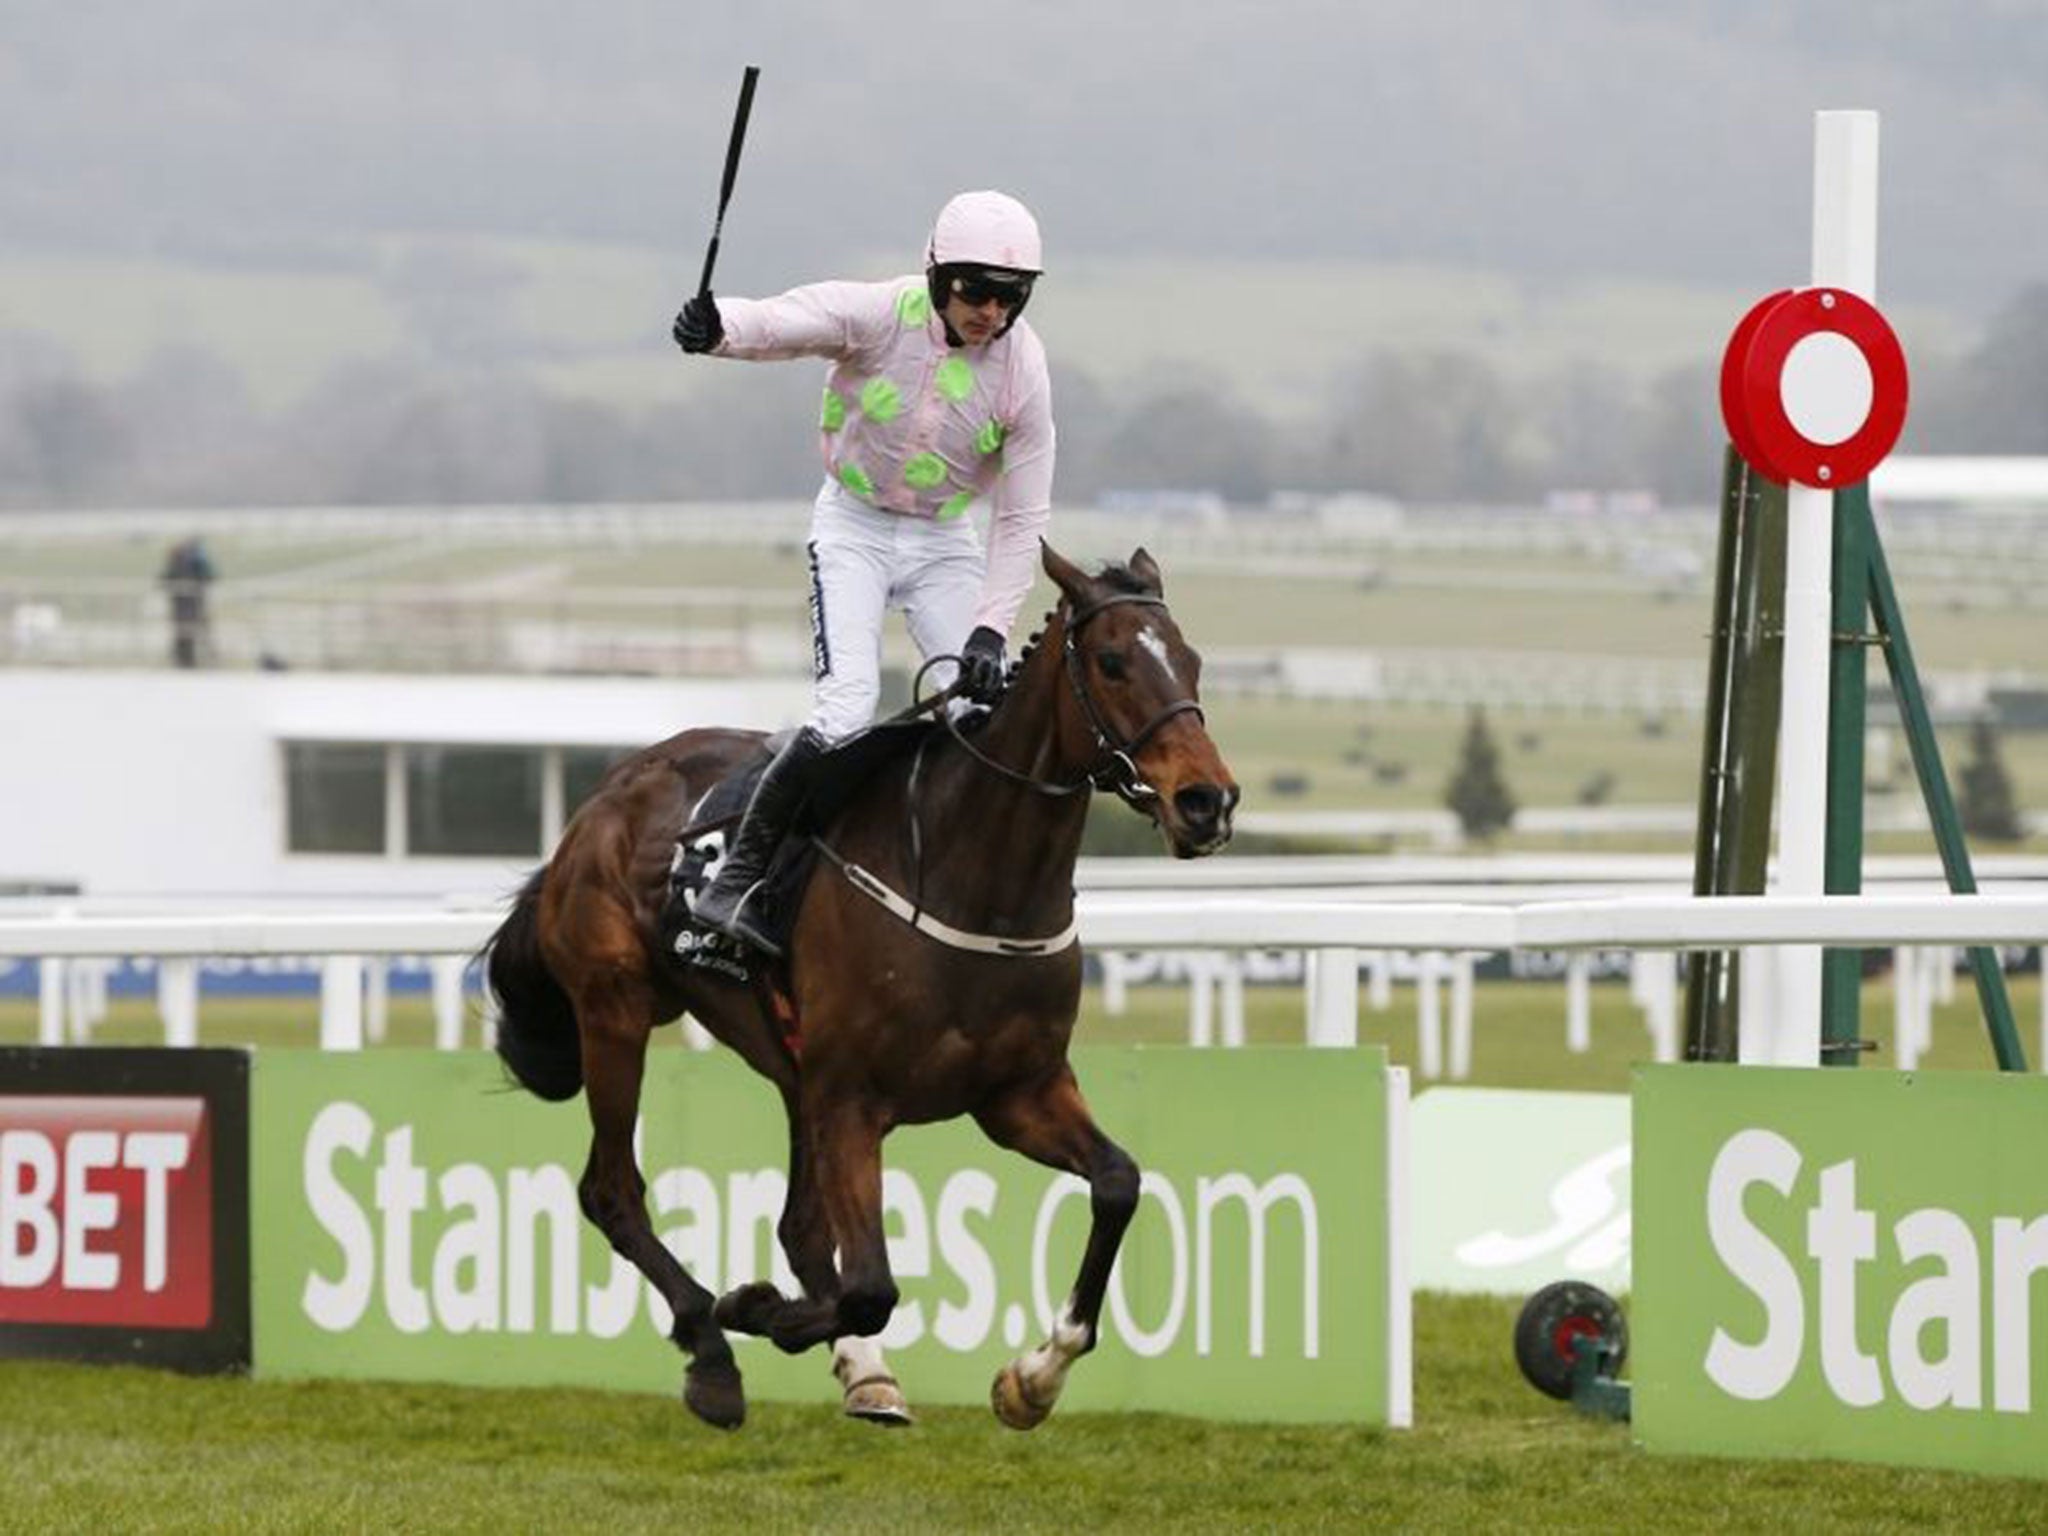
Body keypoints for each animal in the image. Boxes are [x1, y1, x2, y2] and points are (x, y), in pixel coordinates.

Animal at [487, 540, 1236, 1433]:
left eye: (1191, 660)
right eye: (1113, 662)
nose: (1208, 801)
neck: (975, 879)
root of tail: (603, 796)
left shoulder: (1017, 1092)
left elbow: (1119, 1183)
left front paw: (1033, 1377)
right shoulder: (854, 1098)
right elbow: (872, 1285)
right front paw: (755, 1310)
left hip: (788, 1067)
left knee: (801, 1228)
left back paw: (858, 1369)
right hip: (616, 1011)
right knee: (612, 1191)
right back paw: (713, 1347)